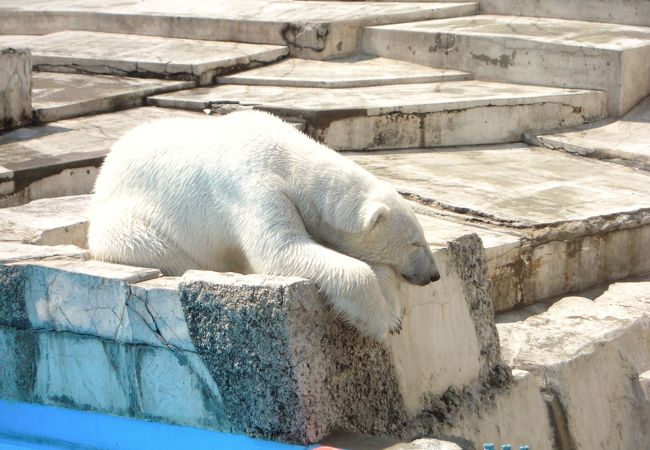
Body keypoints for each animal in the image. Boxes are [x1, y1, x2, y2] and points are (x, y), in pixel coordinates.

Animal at [88, 110, 438, 340]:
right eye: (415, 243)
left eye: (422, 237)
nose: (433, 275)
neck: (290, 158)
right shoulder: (254, 188)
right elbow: (281, 250)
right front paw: (383, 322)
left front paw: (391, 307)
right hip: (129, 224)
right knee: (164, 251)